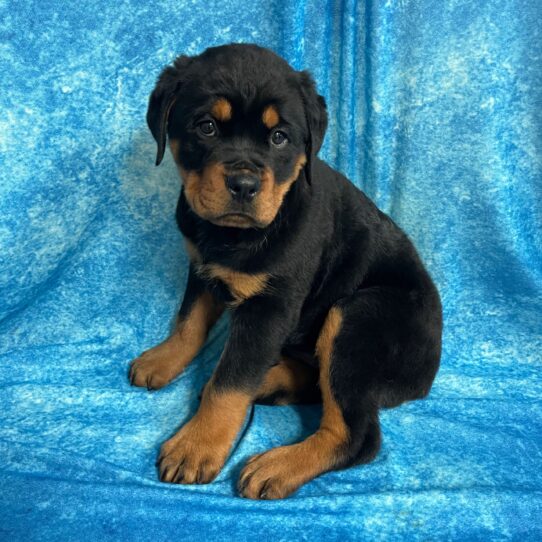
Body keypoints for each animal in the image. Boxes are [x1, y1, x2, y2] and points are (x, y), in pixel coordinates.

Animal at [130, 42, 444, 502]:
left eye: (279, 137)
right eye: (206, 127)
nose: (244, 185)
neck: (231, 236)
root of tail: (429, 373)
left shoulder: (271, 305)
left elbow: (230, 381)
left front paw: (196, 447)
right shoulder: (202, 266)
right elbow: (188, 322)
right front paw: (162, 359)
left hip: (358, 315)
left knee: (355, 431)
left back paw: (276, 465)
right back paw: (270, 383)